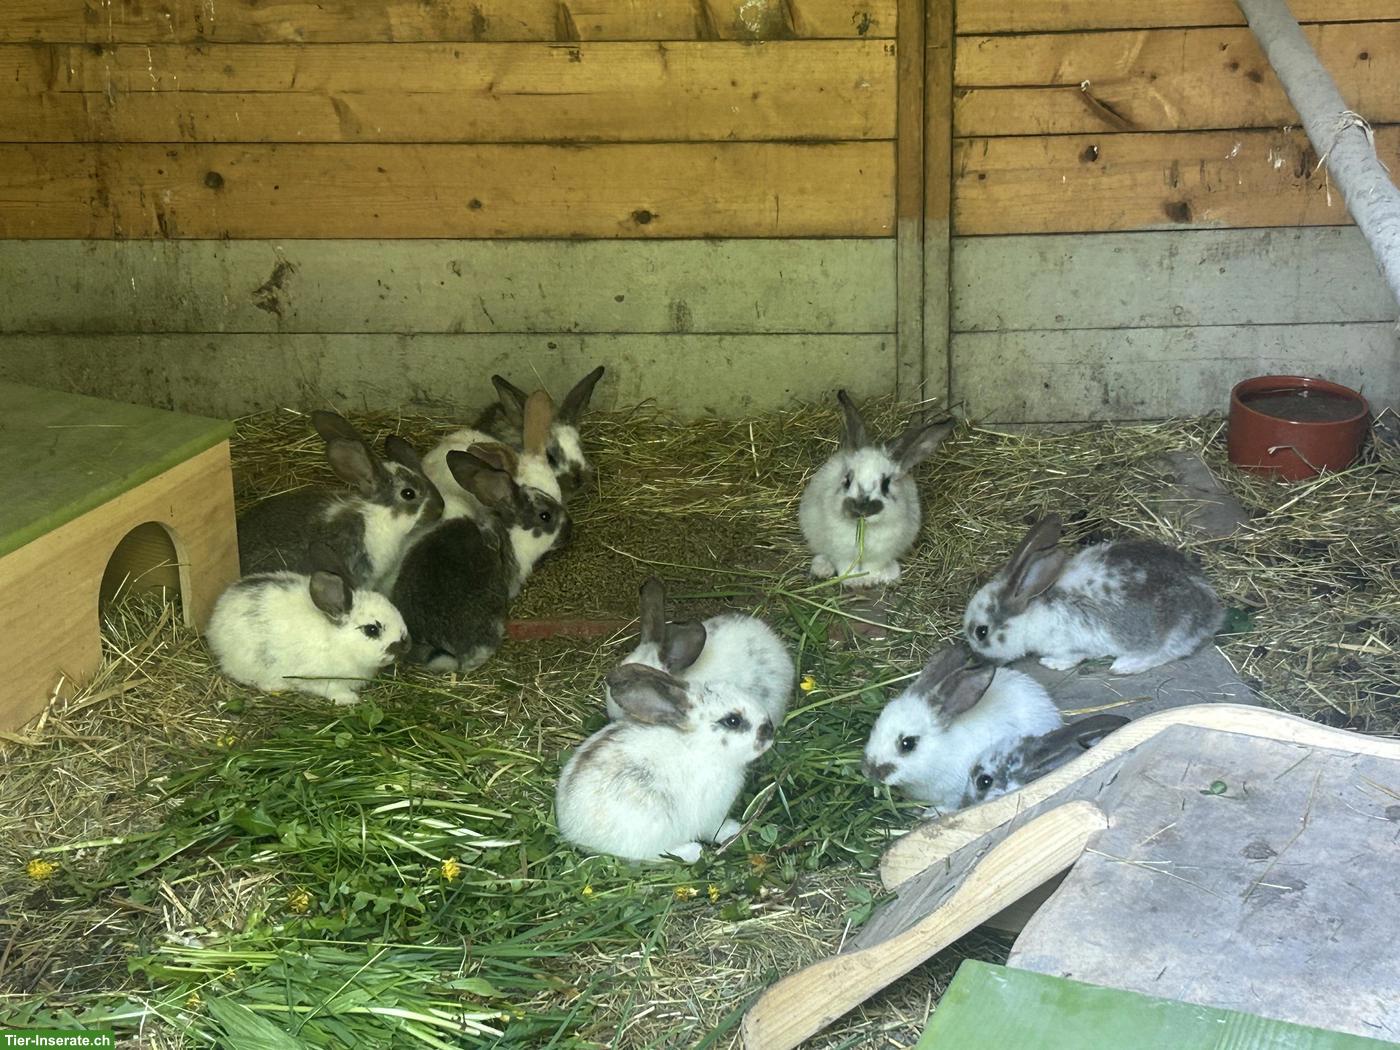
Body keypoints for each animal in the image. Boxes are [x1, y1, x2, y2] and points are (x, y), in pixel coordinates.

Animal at [204, 544, 409, 706]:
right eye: (372, 629)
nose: (406, 645)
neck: (338, 640)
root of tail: (215, 624)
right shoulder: (318, 678)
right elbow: (332, 689)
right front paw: (349, 699)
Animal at [556, 662, 776, 863]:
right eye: (732, 721)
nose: (770, 729)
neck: (703, 746)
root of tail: (571, 830)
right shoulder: (711, 813)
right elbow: (714, 829)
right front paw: (733, 830)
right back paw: (693, 851)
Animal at [799, 390, 953, 587]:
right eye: (847, 480)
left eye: (886, 484)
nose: (860, 509)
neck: (864, 530)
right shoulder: (841, 553)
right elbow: (845, 565)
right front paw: (853, 581)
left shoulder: (881, 554)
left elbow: (874, 567)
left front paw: (872, 579)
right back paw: (822, 568)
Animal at [861, 645, 1063, 814]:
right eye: (876, 726)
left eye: (907, 743)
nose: (868, 772)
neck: (938, 753)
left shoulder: (955, 793)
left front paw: (930, 814)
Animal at [963, 514, 1225, 675]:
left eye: (981, 632)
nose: (976, 659)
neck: (1031, 611)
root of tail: (1213, 610)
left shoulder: (1073, 646)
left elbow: (1072, 658)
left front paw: (1051, 663)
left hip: (1171, 632)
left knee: (1167, 653)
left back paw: (1125, 665)